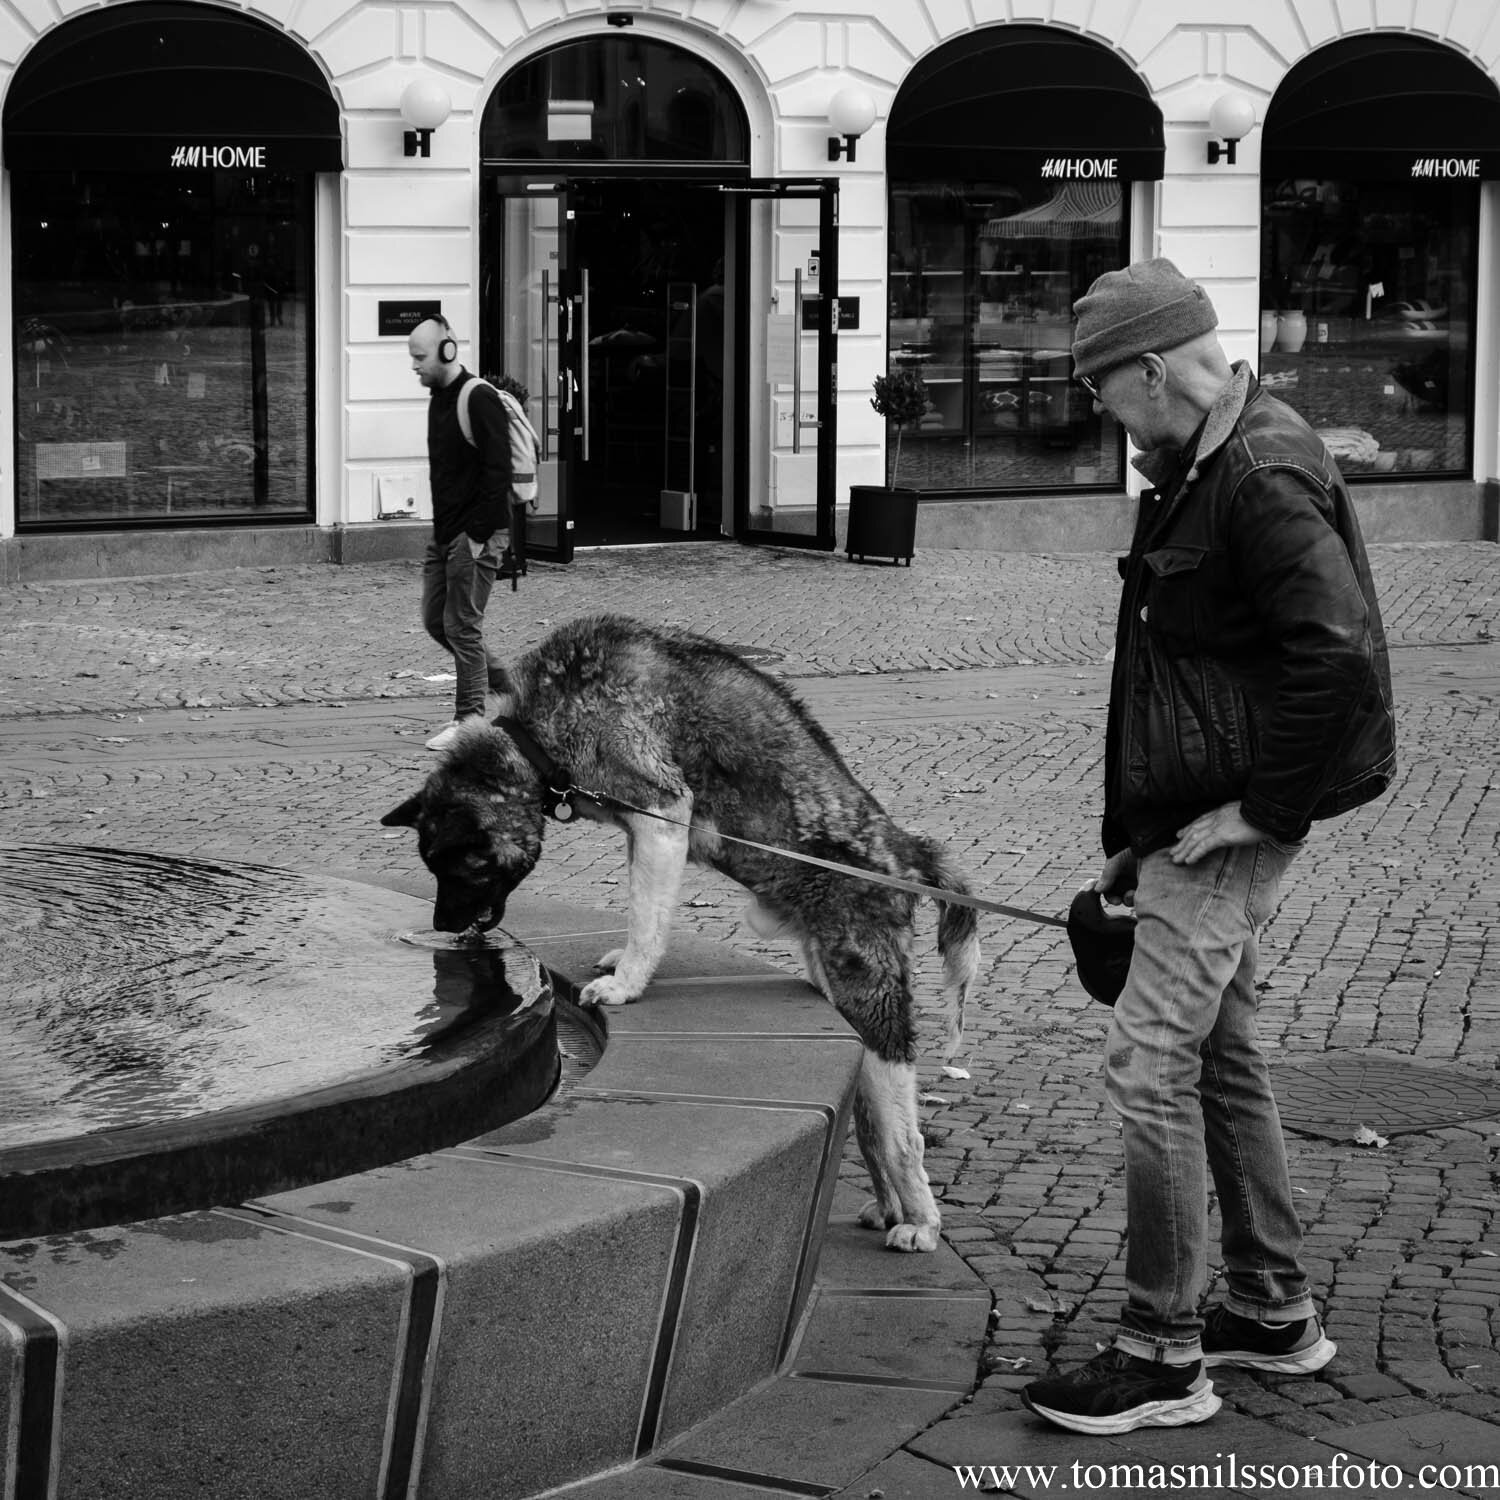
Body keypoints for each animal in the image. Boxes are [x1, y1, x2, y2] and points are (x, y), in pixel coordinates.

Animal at [381, 612, 978, 1254]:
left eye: (461, 867)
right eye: (431, 866)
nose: (440, 928)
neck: (537, 729)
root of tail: (907, 855)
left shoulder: (661, 812)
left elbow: (647, 917)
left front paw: (625, 984)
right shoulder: (642, 831)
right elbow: (644, 910)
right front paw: (621, 963)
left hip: (870, 998)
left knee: (903, 1136)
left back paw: (921, 1221)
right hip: (843, 1000)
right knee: (870, 1126)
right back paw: (889, 1207)